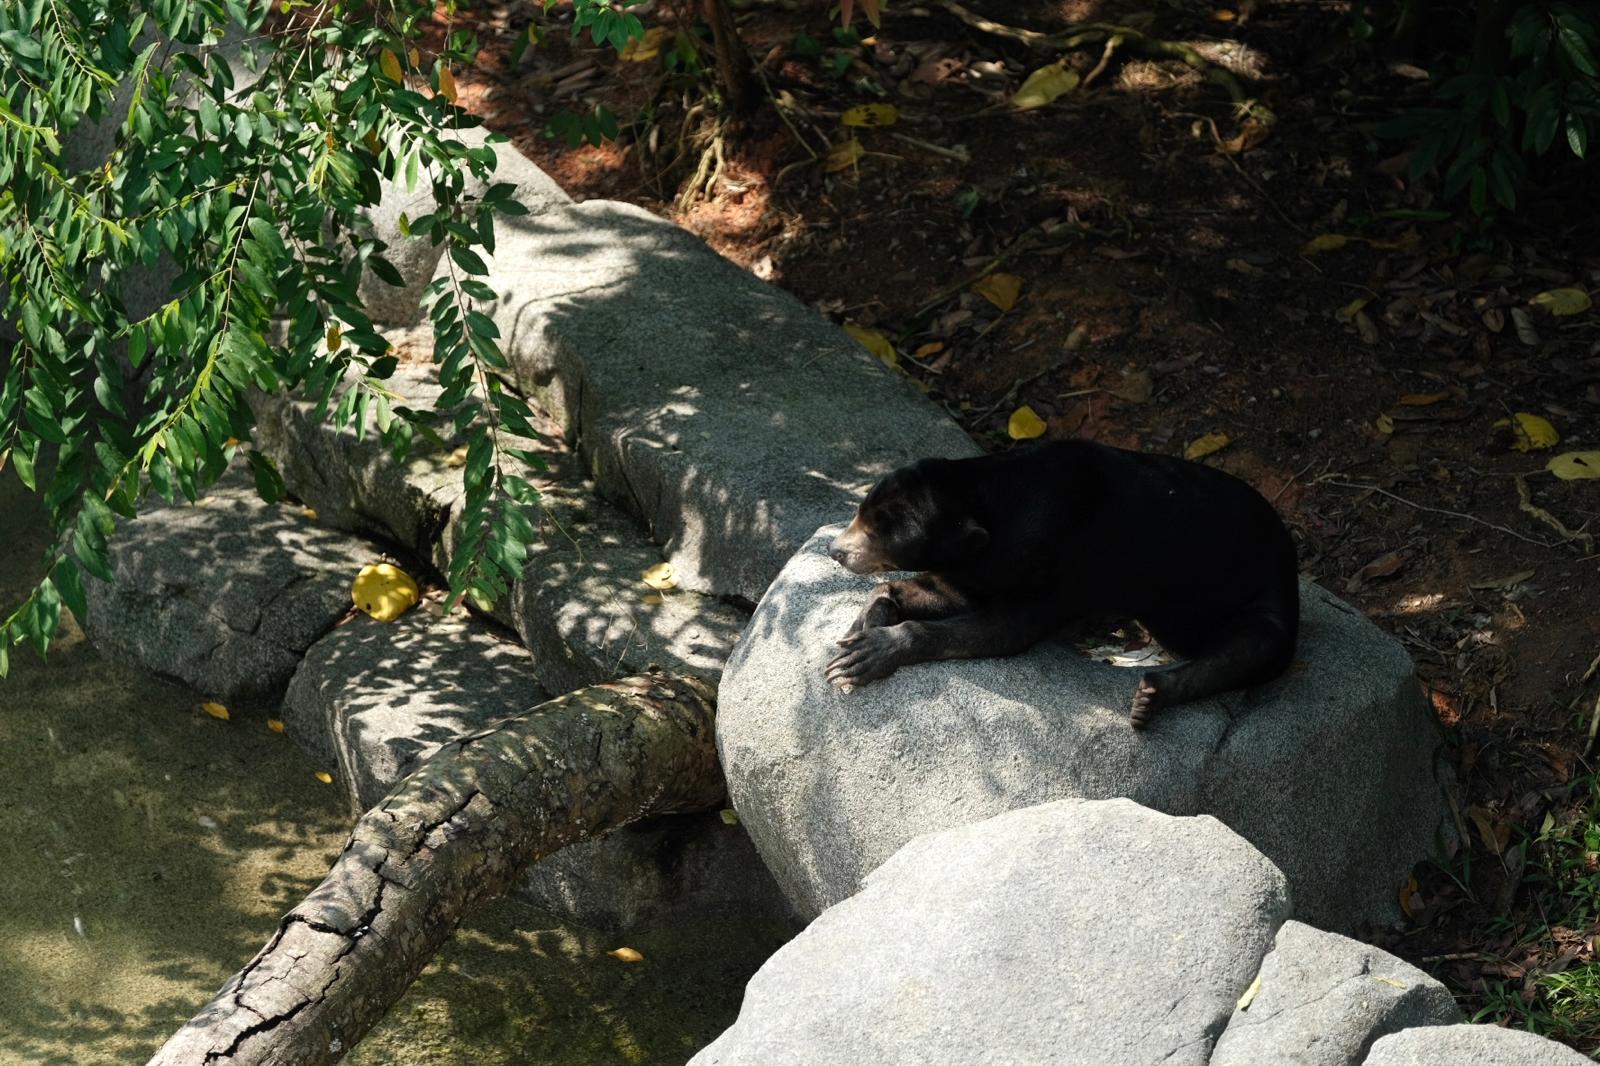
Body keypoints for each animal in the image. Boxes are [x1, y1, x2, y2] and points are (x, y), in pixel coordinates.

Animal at [825, 439, 1300, 728]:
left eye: (881, 533)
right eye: (861, 512)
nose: (835, 550)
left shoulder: (1062, 555)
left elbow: (1003, 629)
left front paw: (866, 655)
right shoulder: (986, 562)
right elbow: (951, 591)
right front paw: (860, 628)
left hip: (1264, 596)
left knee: (1253, 647)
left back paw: (1151, 695)